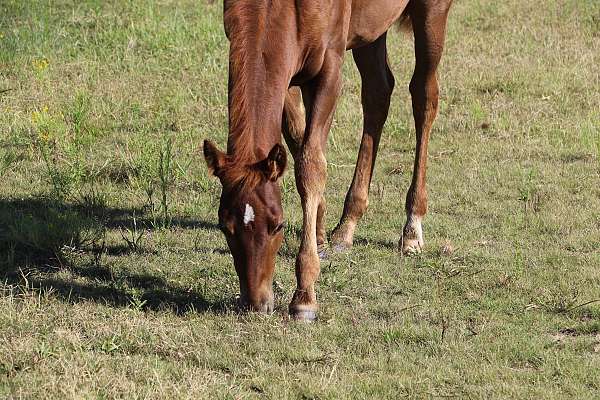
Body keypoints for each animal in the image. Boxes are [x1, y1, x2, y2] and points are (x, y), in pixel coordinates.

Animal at [204, 0, 452, 320]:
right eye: (225, 226)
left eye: (278, 225)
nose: (256, 304)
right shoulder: (289, 72)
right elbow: (297, 138)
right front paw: (320, 231)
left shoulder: (328, 70)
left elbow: (311, 165)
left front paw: (305, 297)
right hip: (369, 30)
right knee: (378, 92)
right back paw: (346, 227)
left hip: (432, 14)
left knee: (424, 96)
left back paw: (412, 228)